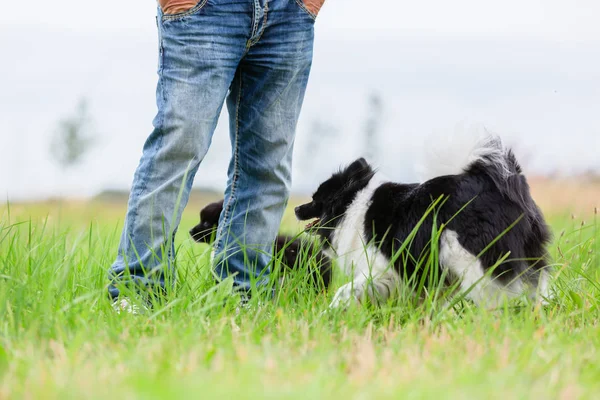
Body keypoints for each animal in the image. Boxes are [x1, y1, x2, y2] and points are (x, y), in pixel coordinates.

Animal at [292, 136, 552, 308]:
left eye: (315, 199)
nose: (295, 208)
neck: (354, 205)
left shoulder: (383, 268)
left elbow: (345, 290)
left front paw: (330, 310)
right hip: (528, 255)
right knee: (535, 285)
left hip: (472, 257)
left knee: (494, 293)